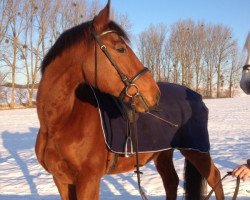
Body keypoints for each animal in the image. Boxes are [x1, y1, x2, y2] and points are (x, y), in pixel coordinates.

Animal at [35, 1, 225, 200]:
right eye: (121, 48)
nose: (154, 93)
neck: (61, 121)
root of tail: (196, 95)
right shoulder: (62, 180)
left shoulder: (89, 181)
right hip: (163, 154)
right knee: (171, 181)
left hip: (196, 151)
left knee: (215, 177)